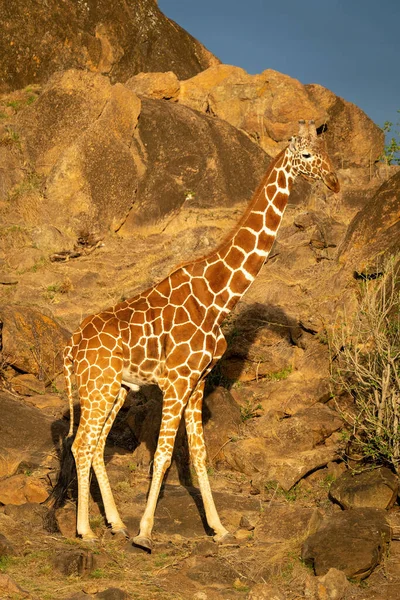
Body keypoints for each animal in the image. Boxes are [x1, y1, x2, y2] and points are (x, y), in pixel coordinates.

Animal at [54, 119, 340, 552]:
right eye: (307, 155)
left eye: (327, 152)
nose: (335, 182)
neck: (219, 297)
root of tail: (71, 345)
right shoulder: (176, 382)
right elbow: (163, 456)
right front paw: (145, 534)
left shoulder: (197, 383)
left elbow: (200, 457)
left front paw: (219, 529)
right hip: (98, 385)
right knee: (81, 444)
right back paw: (86, 530)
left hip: (114, 390)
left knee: (97, 446)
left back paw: (115, 524)